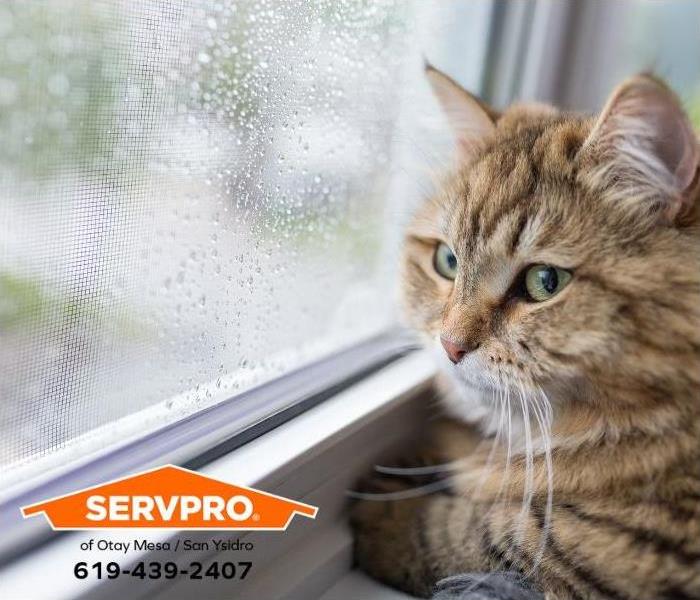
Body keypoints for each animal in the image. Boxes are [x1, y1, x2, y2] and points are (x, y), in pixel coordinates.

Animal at [350, 67, 700, 600]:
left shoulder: (627, 547)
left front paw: (388, 510)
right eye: (447, 261)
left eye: (545, 282)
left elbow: (494, 535)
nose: (450, 345)